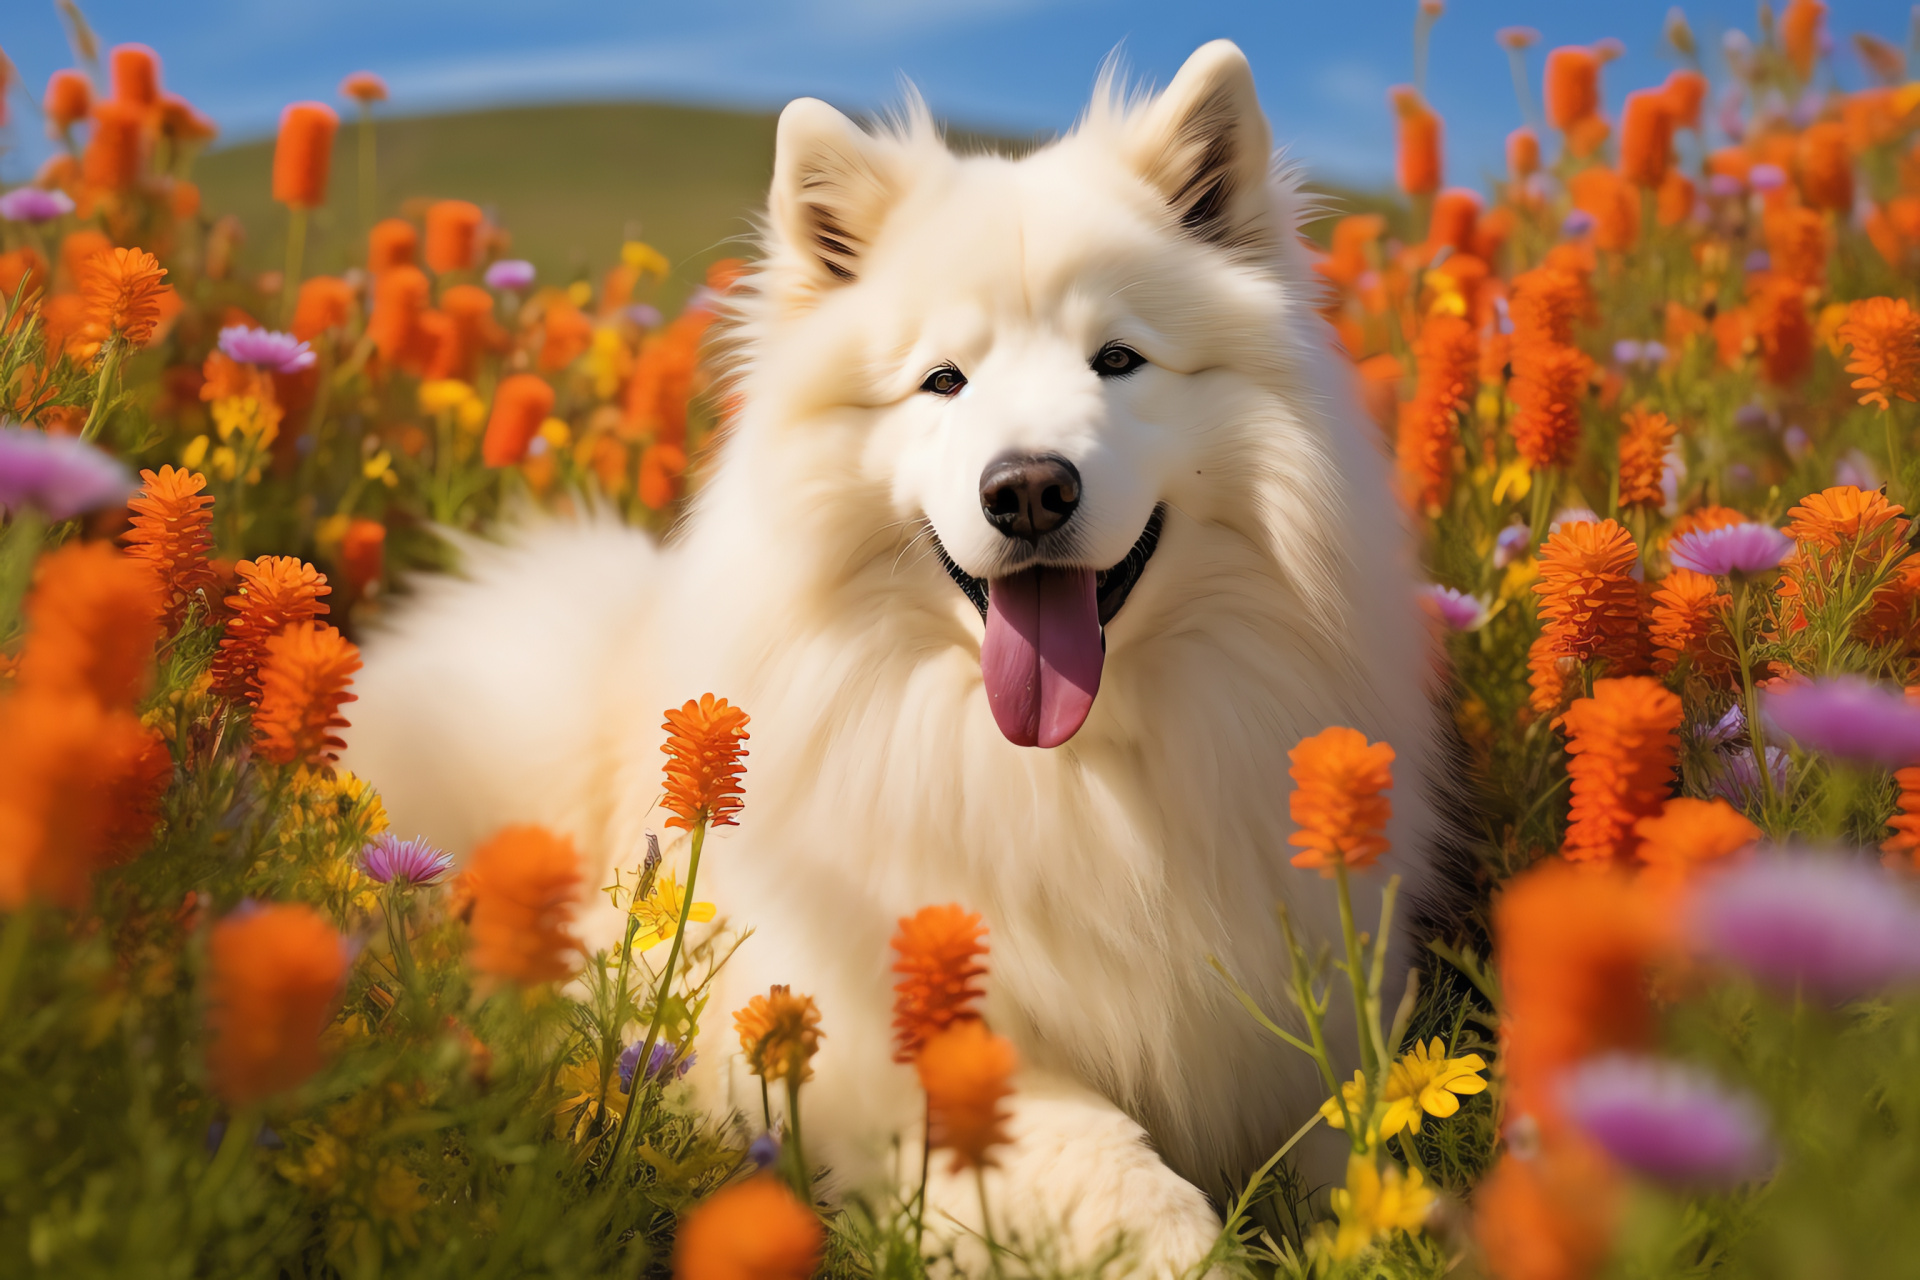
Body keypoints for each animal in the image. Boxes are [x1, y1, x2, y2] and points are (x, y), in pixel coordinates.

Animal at [349, 42, 1443, 1280]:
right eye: (944, 379)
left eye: (1117, 359)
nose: (1029, 488)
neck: (1075, 774)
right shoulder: (871, 1049)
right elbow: (1122, 1175)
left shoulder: (1310, 1029)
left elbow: (1377, 1147)